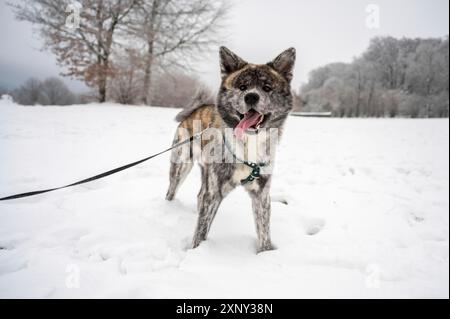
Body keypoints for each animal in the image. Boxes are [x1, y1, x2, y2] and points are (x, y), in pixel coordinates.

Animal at [165, 47, 296, 252]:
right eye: (242, 87)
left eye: (267, 88)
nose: (251, 96)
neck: (248, 143)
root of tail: (197, 109)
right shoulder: (214, 193)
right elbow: (201, 232)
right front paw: (197, 252)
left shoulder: (261, 194)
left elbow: (264, 232)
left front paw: (266, 254)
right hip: (181, 165)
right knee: (172, 190)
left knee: (199, 195)